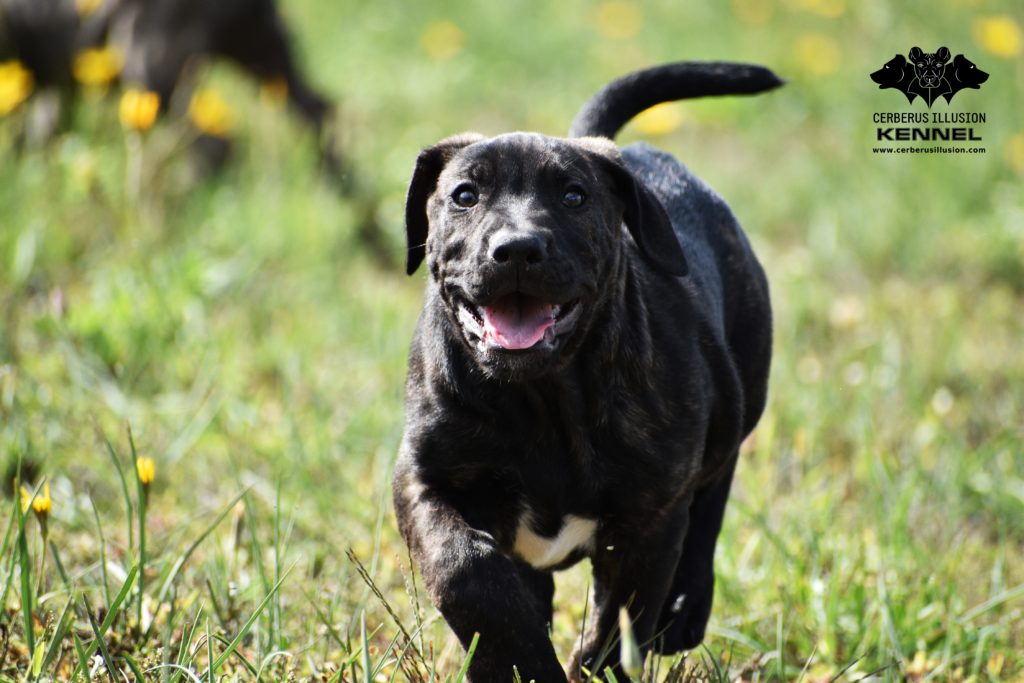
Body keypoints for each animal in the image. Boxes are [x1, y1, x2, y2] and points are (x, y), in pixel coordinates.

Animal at [395, 62, 778, 683]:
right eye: (464, 195)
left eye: (574, 196)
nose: (517, 249)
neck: (541, 399)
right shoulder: (424, 479)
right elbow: (465, 569)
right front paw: (518, 659)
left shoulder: (649, 521)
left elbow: (617, 624)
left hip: (739, 396)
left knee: (713, 492)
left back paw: (686, 608)